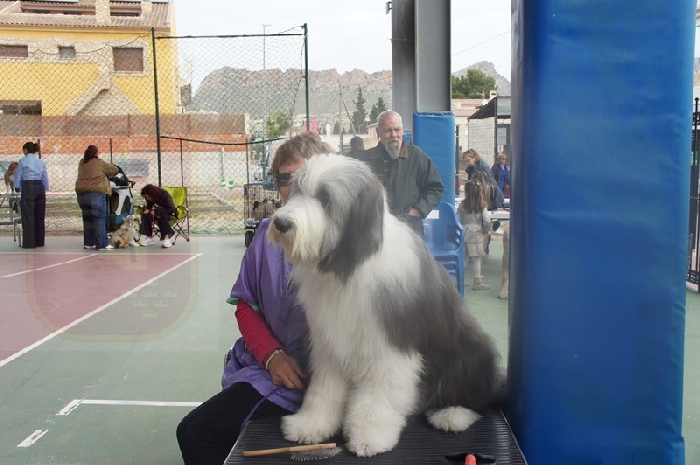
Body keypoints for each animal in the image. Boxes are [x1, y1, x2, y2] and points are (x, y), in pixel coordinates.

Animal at [267, 154, 502, 458]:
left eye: (325, 199)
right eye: (297, 189)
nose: (281, 222)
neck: (349, 263)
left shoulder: (390, 346)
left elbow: (380, 393)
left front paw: (370, 434)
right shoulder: (330, 342)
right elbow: (325, 388)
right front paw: (311, 424)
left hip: (470, 354)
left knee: (475, 399)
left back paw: (452, 415)